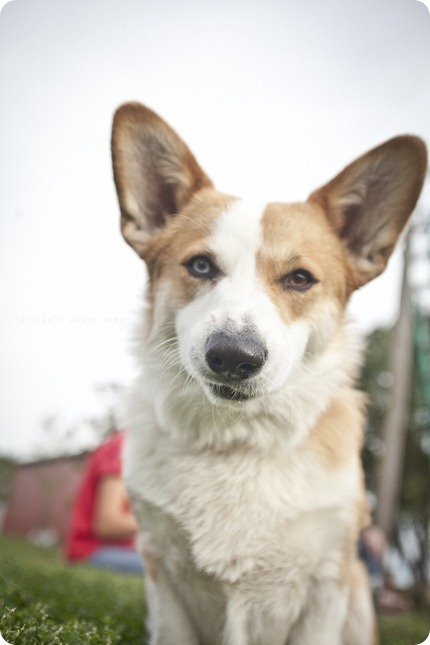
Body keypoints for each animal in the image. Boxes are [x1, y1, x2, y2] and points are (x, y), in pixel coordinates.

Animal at [111, 103, 426, 640]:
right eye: (200, 266)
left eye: (299, 278)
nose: (233, 356)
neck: (238, 440)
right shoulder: (163, 573)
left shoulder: (327, 584)